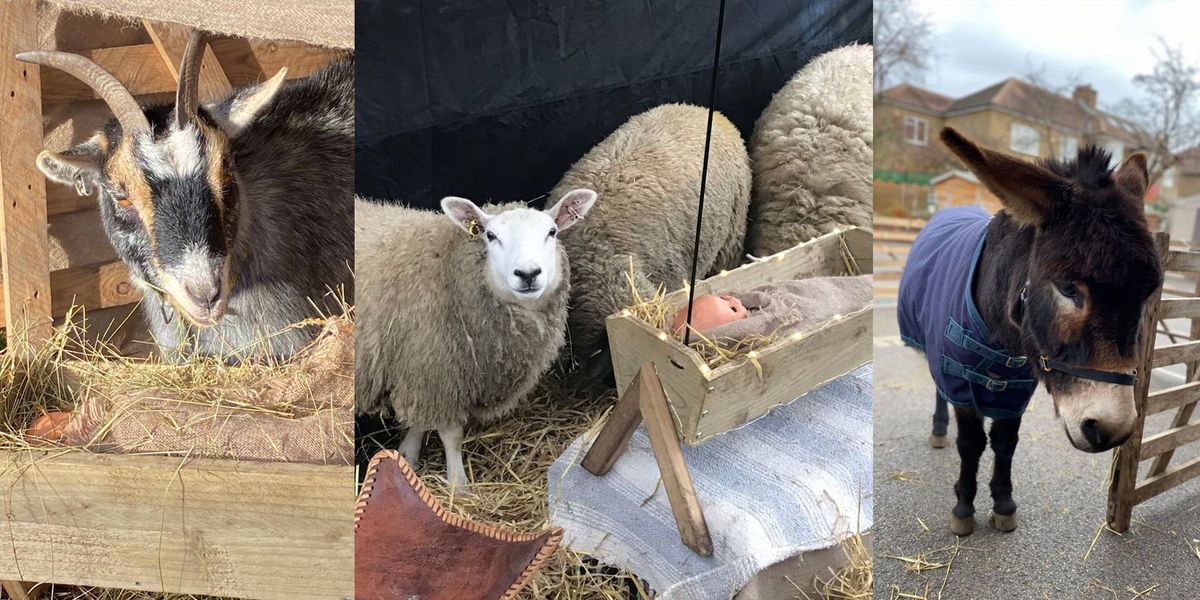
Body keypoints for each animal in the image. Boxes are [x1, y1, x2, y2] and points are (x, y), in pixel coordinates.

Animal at [355, 189, 600, 489]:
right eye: (491, 236)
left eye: (552, 232)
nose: (528, 274)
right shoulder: (437, 368)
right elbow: (451, 435)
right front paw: (458, 484)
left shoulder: (424, 372)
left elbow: (420, 421)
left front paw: (408, 456)